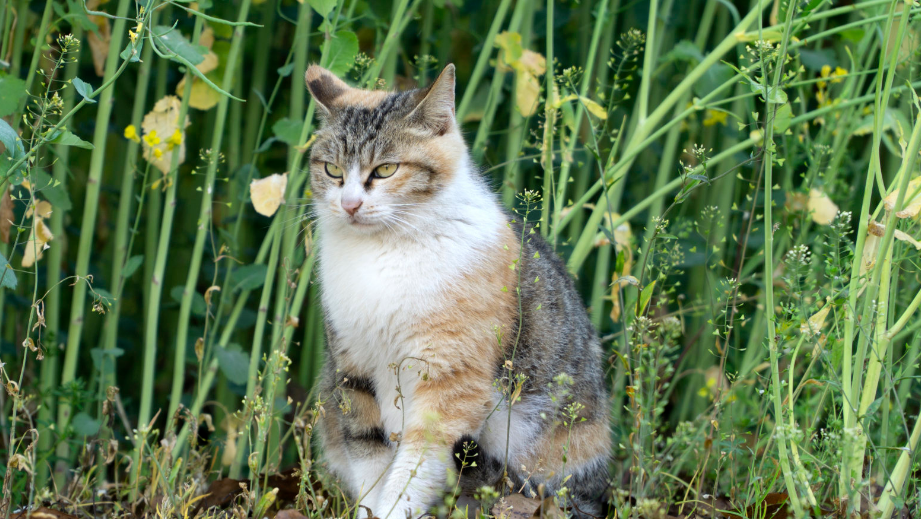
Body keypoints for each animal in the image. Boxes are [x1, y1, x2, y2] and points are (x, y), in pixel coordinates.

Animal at [306, 63, 616, 516]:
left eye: (385, 170)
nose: (349, 205)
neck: (383, 252)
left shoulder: (451, 382)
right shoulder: (352, 367)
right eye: (332, 170)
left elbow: (414, 469)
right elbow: (368, 455)